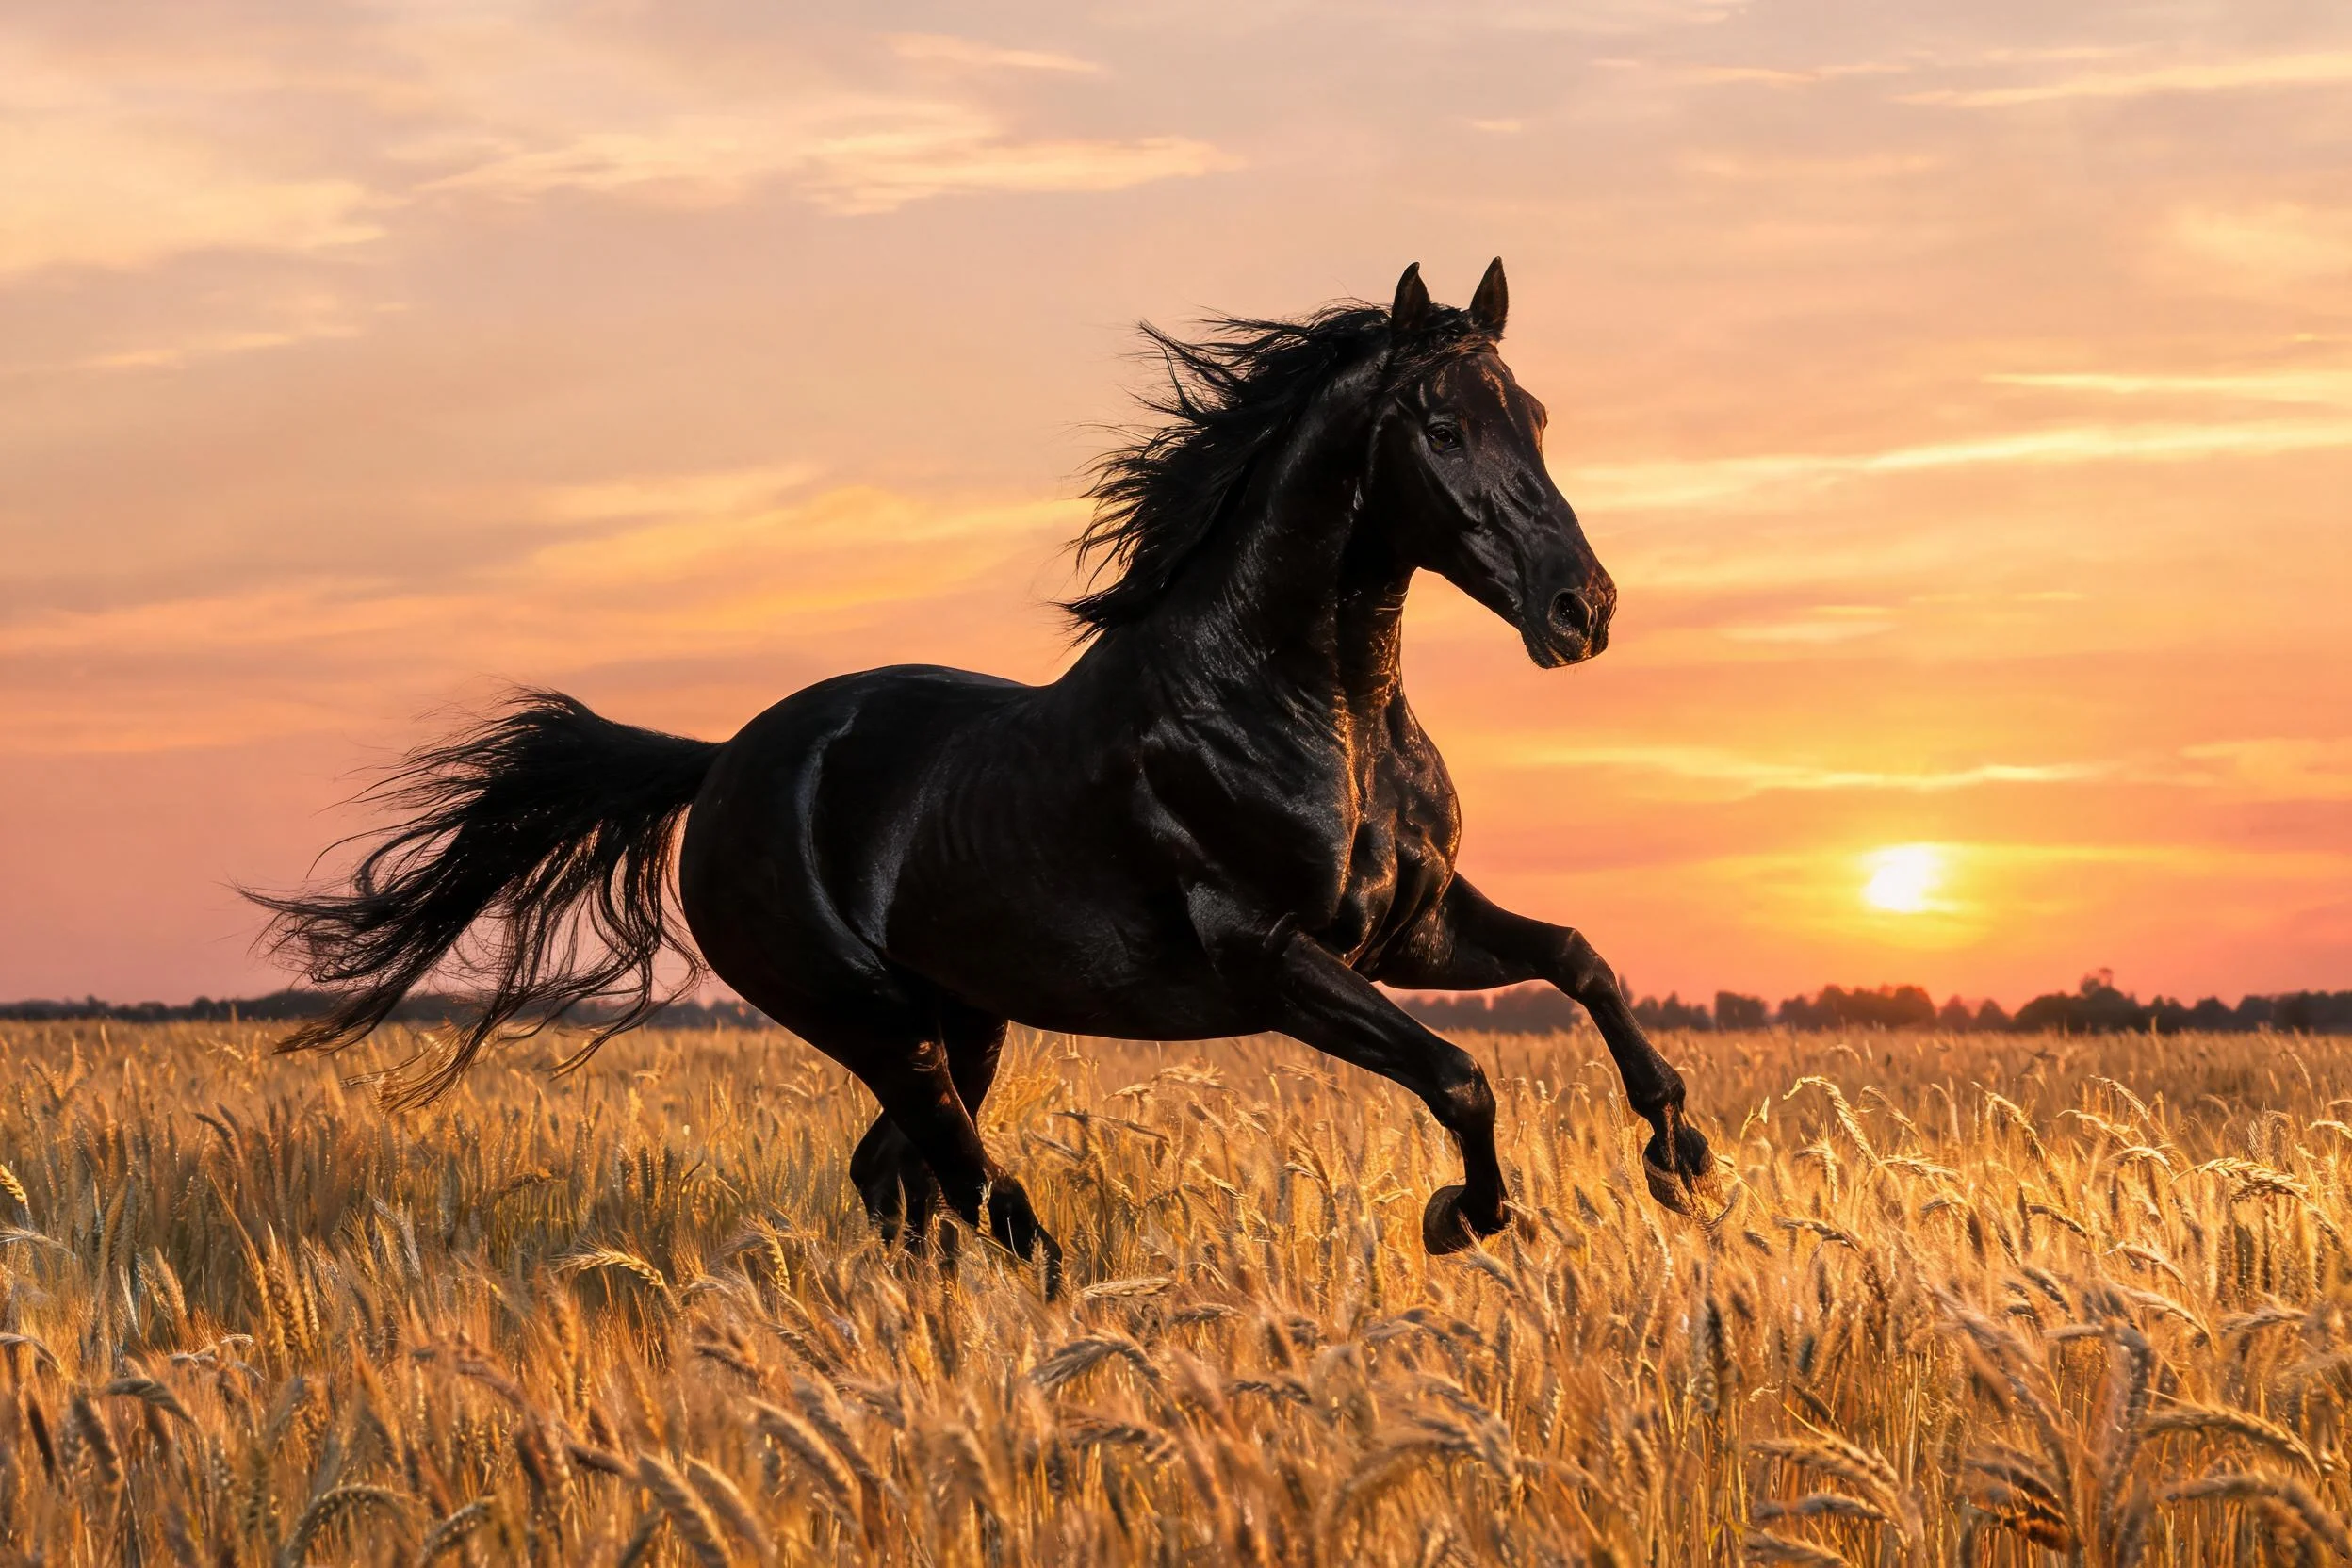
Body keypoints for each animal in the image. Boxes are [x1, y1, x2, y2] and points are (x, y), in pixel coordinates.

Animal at [253, 259, 1715, 1294]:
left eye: (1535, 416)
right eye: (1441, 425)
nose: (1581, 609)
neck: (1316, 706)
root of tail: (725, 764)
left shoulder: (1408, 928)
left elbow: (1579, 958)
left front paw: (1681, 1157)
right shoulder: (1272, 958)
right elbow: (1461, 1073)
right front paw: (1462, 1215)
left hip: (962, 1019)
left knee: (904, 1181)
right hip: (877, 1022)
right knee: (973, 1188)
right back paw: (1079, 1319)